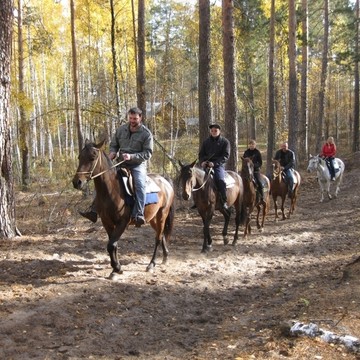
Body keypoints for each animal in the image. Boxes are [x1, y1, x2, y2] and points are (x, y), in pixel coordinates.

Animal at [71, 139, 175, 278]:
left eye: (92, 157)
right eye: (79, 157)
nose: (77, 182)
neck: (112, 190)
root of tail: (165, 180)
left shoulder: (122, 222)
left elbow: (111, 245)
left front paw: (117, 268)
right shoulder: (107, 222)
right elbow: (113, 245)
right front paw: (115, 269)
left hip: (162, 215)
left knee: (158, 238)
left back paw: (151, 264)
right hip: (152, 218)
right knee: (162, 235)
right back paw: (165, 257)